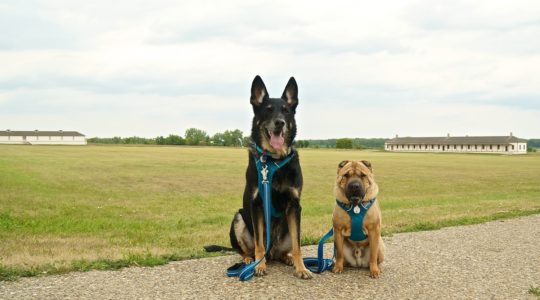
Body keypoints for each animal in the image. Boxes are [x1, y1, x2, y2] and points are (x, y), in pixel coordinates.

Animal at [228, 75, 312, 278]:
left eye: (286, 111)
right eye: (267, 110)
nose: (280, 122)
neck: (273, 161)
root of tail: (272, 252)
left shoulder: (294, 206)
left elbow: (298, 246)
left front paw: (301, 268)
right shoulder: (257, 205)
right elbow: (259, 243)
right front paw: (259, 266)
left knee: (285, 250)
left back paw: (287, 258)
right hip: (238, 218)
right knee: (246, 250)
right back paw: (248, 260)